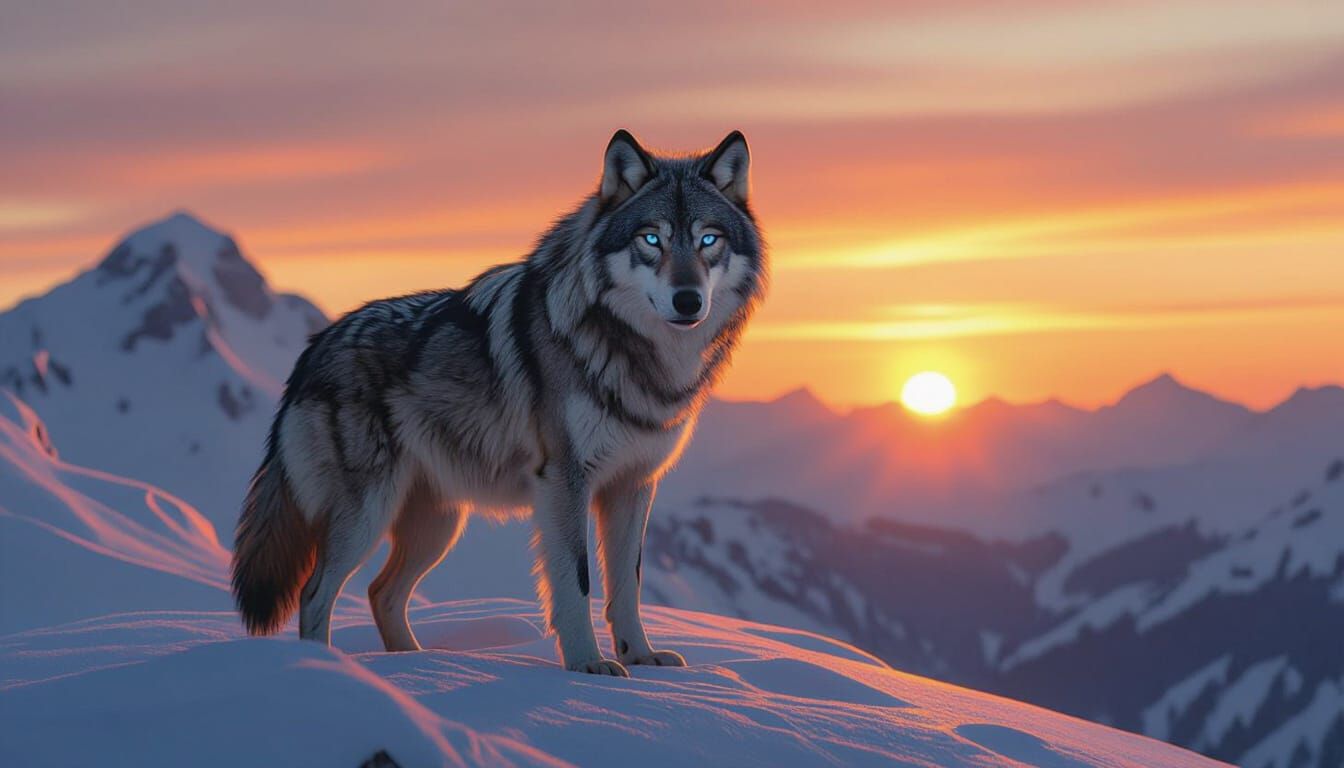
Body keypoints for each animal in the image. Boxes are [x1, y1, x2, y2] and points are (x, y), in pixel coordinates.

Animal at [230, 130, 766, 675]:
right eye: (652, 239)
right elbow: (577, 582)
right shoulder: (564, 482)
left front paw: (639, 657)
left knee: (382, 592)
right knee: (315, 592)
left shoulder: (633, 485)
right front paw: (588, 666)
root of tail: (314, 347)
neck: (633, 351)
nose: (688, 300)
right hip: (368, 515)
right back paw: (330, 669)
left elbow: (627, 585)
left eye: (708, 239)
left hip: (438, 525)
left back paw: (415, 665)